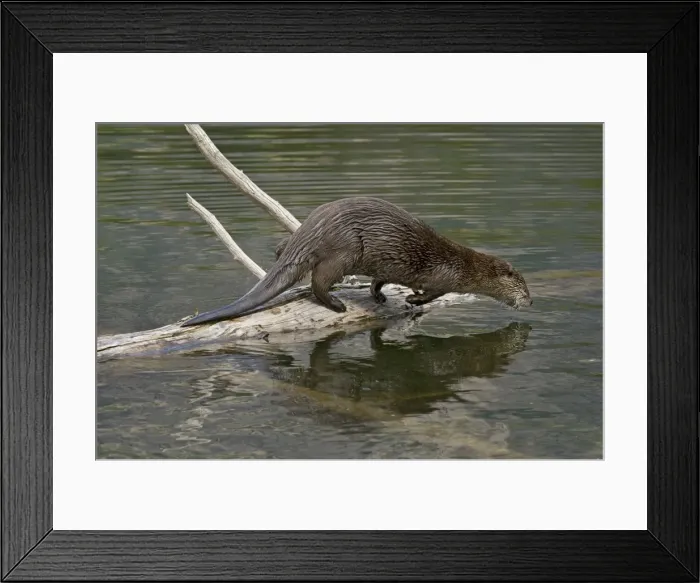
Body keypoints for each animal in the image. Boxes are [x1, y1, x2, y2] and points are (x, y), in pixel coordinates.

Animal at [181, 197, 532, 327]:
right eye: (523, 287)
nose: (530, 302)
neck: (463, 264)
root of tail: (313, 227)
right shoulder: (444, 276)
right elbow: (433, 293)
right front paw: (413, 299)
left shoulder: (386, 266)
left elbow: (380, 279)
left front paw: (380, 295)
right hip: (345, 251)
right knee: (317, 280)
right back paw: (336, 304)